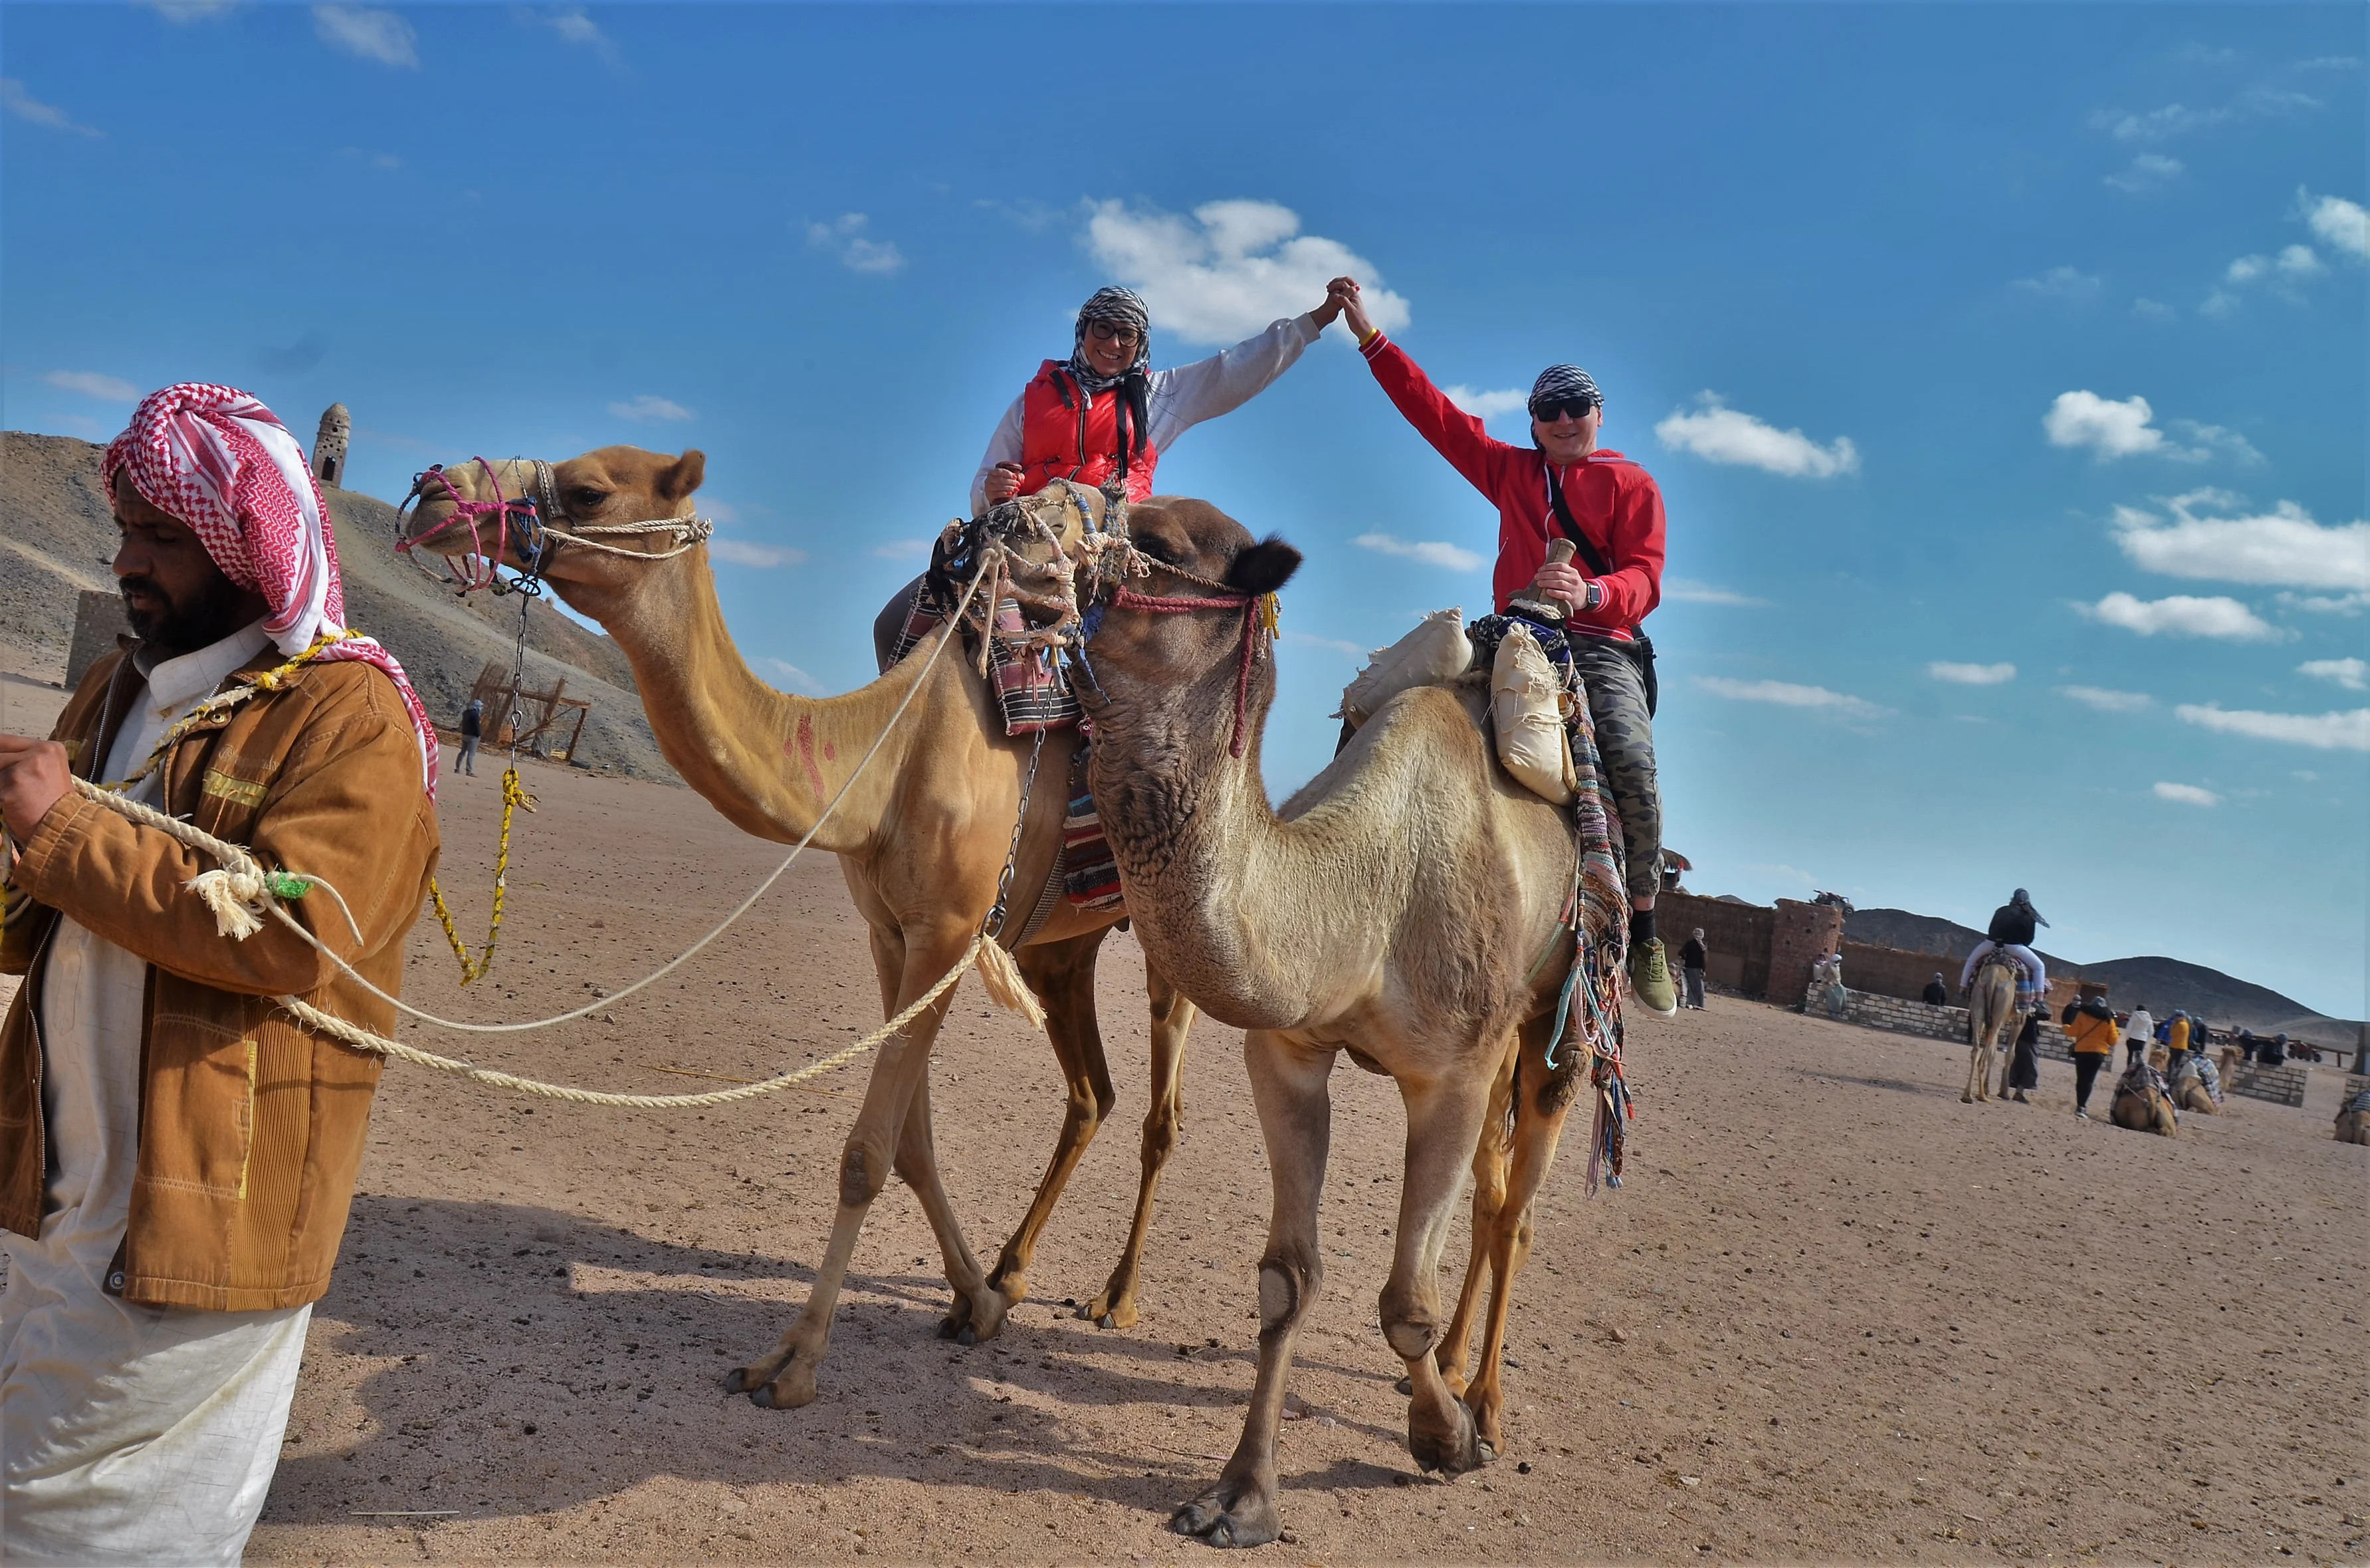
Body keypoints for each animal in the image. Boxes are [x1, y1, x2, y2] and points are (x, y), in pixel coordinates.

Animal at [401, 448, 1202, 1411]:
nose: (436, 495)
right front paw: (974, 1301)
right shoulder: (892, 934)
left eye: (589, 489)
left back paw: (1116, 1297)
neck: (889, 758)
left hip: (1171, 935)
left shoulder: (948, 931)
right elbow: (910, 1143)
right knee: (1091, 1094)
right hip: (1060, 947)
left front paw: (792, 1361)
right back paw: (1012, 1271)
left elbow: (867, 1150)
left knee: (1161, 1113)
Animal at [1057, 498, 1627, 1549]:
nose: (1006, 528)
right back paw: (1456, 1367)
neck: (1366, 897)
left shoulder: (1450, 1073)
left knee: (1516, 1210)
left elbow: (1402, 1300)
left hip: (1557, 1022)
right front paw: (1240, 1497)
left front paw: (1446, 1440)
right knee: (1489, 1201)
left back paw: (1483, 1402)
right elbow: (1287, 1277)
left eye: (1154, 544)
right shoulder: (1288, 1051)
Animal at [1964, 951, 2019, 1104]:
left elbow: (1993, 1053)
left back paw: (1968, 1095)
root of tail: (1993, 978)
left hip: (1979, 1005)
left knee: (1976, 1050)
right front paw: (2004, 1093)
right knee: (1983, 1057)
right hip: (1999, 1013)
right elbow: (2010, 1054)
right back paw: (1982, 1096)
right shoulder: (2020, 1018)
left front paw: (1988, 1088)